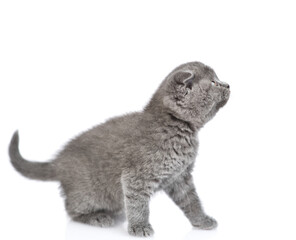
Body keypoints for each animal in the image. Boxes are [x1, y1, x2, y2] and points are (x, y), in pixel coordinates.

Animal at [8, 61, 231, 236]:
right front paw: (139, 227)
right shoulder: (136, 177)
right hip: (88, 193)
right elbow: (138, 203)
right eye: (214, 82)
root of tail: (59, 161)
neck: (178, 129)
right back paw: (98, 217)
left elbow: (191, 201)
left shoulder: (180, 176)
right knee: (72, 210)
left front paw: (202, 221)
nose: (228, 84)